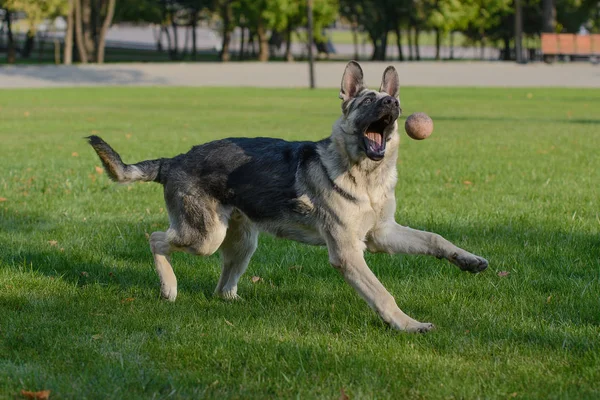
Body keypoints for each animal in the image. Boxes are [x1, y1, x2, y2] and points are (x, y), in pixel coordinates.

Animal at [88, 61, 488, 332]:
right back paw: (169, 289)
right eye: (366, 101)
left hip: (242, 243)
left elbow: (435, 239)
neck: (366, 178)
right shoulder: (348, 252)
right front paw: (407, 325)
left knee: (222, 287)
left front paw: (467, 260)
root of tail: (174, 160)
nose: (391, 103)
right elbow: (382, 294)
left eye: (390, 99)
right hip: (205, 237)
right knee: (156, 239)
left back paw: (238, 302)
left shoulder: (383, 234)